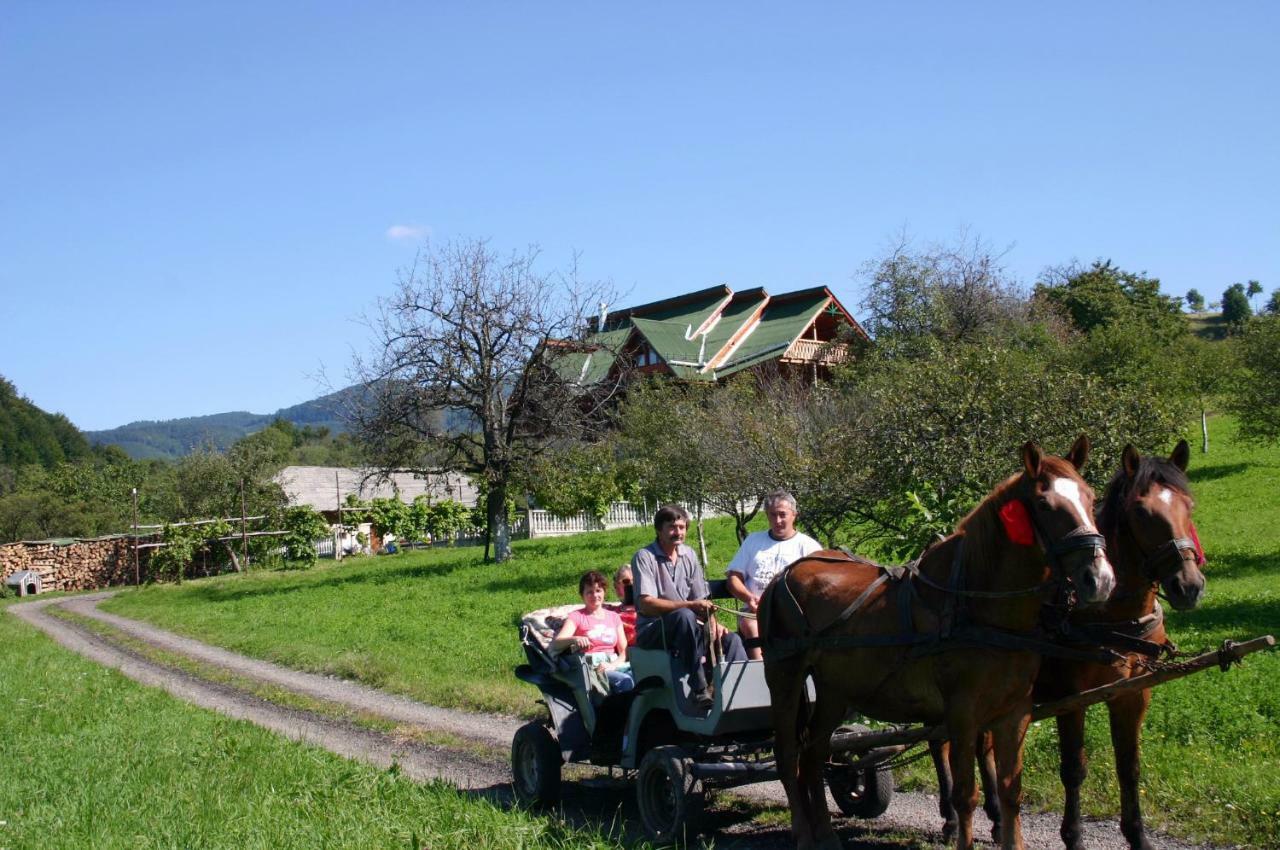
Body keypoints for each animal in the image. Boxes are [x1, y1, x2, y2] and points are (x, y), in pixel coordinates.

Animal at [757, 437, 1111, 850]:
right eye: (1044, 504)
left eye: (1091, 497)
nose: (1099, 578)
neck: (974, 602)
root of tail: (783, 575)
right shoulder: (961, 713)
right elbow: (965, 794)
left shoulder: (1014, 711)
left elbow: (1011, 791)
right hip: (784, 676)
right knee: (788, 756)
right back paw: (803, 833)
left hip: (834, 690)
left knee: (814, 754)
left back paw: (826, 835)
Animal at [931, 440, 1208, 844]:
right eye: (1141, 511)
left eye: (1189, 505)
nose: (1189, 585)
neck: (1110, 614)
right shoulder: (1070, 697)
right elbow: (1074, 768)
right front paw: (1073, 835)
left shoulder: (1132, 694)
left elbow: (1130, 767)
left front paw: (1137, 836)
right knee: (940, 744)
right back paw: (952, 820)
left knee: (983, 746)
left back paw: (996, 819)